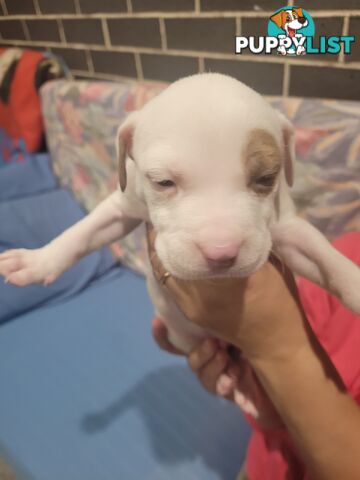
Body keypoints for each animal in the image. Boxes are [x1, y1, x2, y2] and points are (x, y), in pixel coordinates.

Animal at [0, 74, 360, 356]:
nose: (221, 253)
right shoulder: (123, 207)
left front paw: (353, 283)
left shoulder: (286, 228)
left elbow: (322, 255)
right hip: (187, 336)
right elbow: (82, 233)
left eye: (266, 179)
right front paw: (36, 261)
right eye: (163, 182)